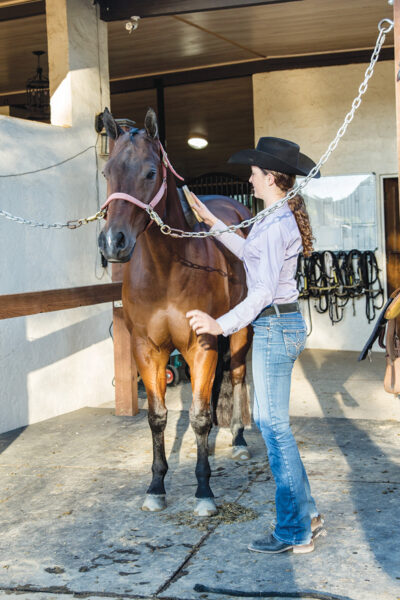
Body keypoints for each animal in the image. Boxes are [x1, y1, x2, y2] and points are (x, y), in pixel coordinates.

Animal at [98, 108, 252, 516]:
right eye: (107, 172)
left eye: (151, 172)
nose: (113, 242)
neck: (167, 269)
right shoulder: (147, 348)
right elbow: (157, 417)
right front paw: (156, 487)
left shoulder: (202, 344)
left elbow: (197, 416)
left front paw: (203, 491)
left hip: (240, 333)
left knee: (237, 377)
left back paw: (239, 441)